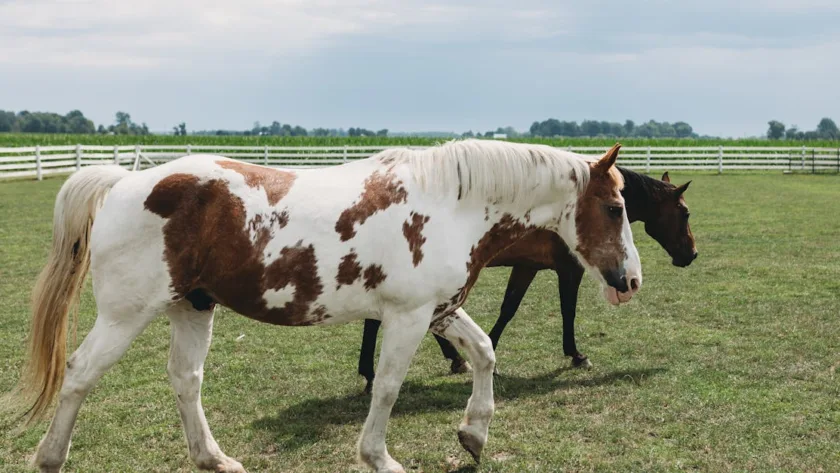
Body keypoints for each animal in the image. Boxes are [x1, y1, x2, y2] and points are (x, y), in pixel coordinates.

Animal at [7, 139, 642, 473]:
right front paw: (379, 457)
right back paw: (49, 457)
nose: (630, 280)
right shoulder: (408, 317)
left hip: (192, 308)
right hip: (124, 316)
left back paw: (214, 458)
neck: (450, 204)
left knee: (185, 381)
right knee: (79, 374)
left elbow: (484, 354)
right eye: (614, 208)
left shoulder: (438, 310)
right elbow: (387, 386)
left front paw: (474, 434)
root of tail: (121, 183)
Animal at [358, 167, 695, 392]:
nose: (691, 254)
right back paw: (376, 375)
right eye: (685, 213)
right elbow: (568, 310)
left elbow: (509, 308)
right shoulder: (570, 270)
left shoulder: (526, 267)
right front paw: (576, 355)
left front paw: (490, 352)